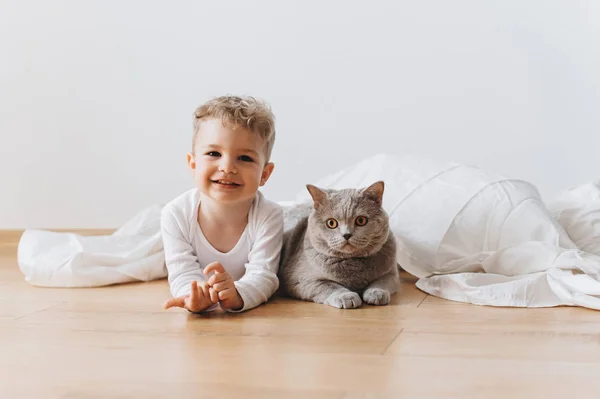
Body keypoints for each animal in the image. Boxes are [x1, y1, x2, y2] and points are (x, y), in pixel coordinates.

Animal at [278, 181, 400, 310]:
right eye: (331, 223)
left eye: (361, 220)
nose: (346, 234)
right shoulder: (299, 279)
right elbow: (329, 285)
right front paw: (347, 297)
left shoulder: (392, 274)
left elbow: (382, 281)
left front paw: (376, 293)